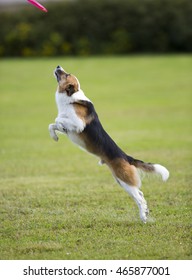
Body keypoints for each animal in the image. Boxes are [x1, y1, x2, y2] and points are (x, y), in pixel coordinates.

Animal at [48, 66, 169, 223]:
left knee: (140, 198)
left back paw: (143, 217)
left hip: (124, 180)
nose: (58, 66)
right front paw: (55, 136)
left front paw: (59, 129)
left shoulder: (78, 124)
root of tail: (127, 157)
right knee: (141, 195)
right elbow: (52, 125)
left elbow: (58, 120)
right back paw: (145, 213)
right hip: (121, 181)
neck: (71, 98)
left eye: (66, 74)